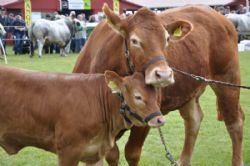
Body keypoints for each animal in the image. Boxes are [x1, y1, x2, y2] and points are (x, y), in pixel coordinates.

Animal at [73, 3, 245, 166]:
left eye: (167, 39)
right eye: (134, 40)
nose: (164, 74)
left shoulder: (149, 114)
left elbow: (131, 153)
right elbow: (110, 154)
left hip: (228, 79)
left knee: (234, 122)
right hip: (188, 91)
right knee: (194, 120)